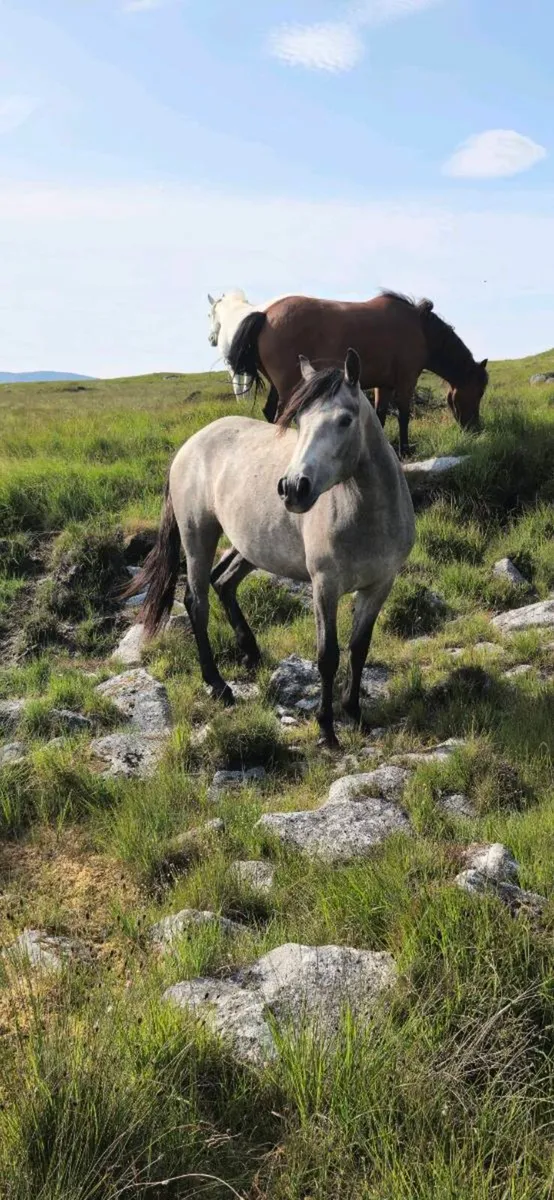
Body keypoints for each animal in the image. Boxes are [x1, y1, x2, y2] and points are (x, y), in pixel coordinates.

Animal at [125, 349, 415, 749]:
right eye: (300, 419)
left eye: (345, 420)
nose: (293, 487)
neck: (369, 515)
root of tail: (191, 444)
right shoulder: (325, 587)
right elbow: (328, 656)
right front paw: (327, 730)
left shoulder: (380, 585)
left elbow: (359, 649)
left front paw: (355, 714)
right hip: (198, 536)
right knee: (197, 602)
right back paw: (218, 685)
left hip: (250, 545)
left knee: (223, 581)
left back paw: (250, 652)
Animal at [222, 289, 488, 458]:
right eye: (477, 393)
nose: (476, 429)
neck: (421, 329)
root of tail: (265, 314)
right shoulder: (407, 380)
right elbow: (404, 415)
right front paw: (404, 449)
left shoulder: (385, 384)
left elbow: (381, 415)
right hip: (289, 387)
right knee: (281, 417)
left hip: (279, 387)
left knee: (269, 413)